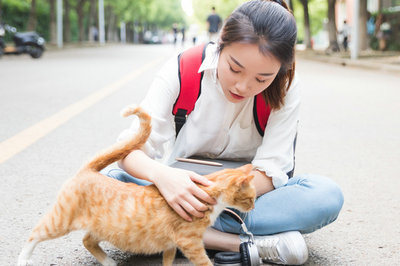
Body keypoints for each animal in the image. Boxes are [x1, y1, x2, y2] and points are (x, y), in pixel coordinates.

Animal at [18, 106, 256, 266]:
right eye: (250, 198)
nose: (253, 207)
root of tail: (89, 170)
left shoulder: (171, 244)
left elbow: (168, 261)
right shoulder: (190, 242)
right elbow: (204, 262)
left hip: (106, 228)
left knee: (87, 240)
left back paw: (109, 262)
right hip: (61, 220)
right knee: (34, 234)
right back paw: (23, 258)